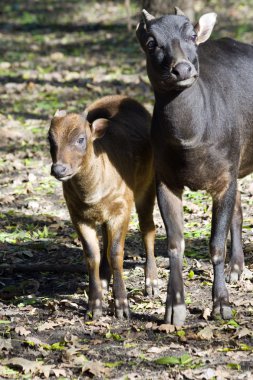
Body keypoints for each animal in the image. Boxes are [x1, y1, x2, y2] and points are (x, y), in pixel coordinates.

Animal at [48, 95, 157, 318]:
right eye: (50, 140)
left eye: (81, 139)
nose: (59, 169)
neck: (92, 195)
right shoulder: (77, 215)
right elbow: (92, 255)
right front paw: (94, 305)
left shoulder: (122, 210)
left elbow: (116, 253)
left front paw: (122, 306)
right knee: (105, 241)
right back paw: (105, 281)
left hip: (147, 188)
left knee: (148, 229)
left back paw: (150, 283)